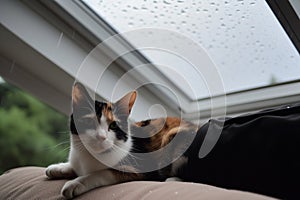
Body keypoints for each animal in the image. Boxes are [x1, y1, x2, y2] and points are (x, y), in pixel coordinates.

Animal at [45, 82, 198, 199]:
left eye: (113, 125)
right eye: (89, 121)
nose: (101, 136)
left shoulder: (141, 170)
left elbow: (102, 173)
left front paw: (76, 183)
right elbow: (74, 166)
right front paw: (58, 167)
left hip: (174, 136)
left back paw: (173, 179)